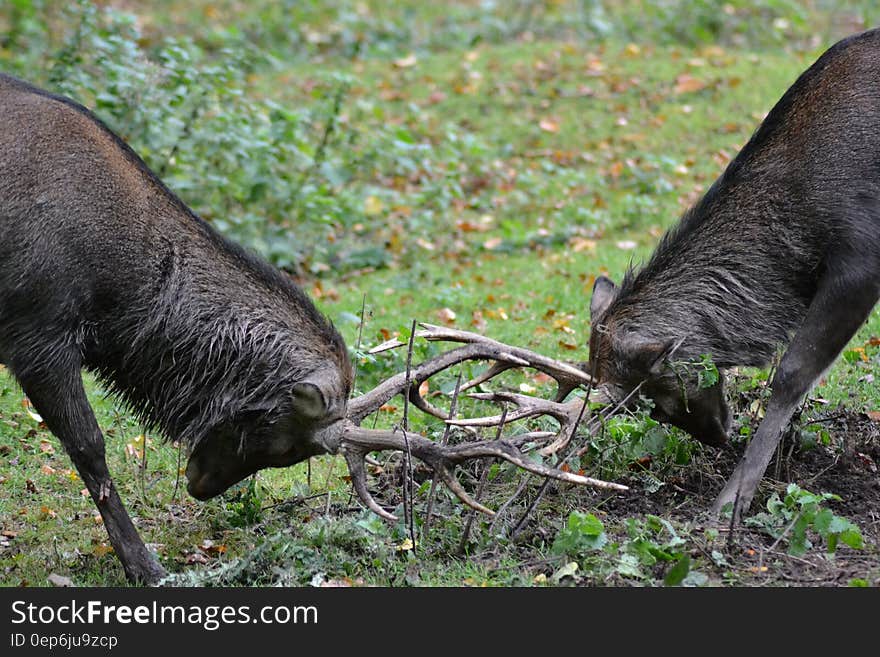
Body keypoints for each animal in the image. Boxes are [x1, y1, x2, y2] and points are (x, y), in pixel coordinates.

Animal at [1, 74, 620, 580]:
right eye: (276, 433)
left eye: (281, 449)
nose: (199, 484)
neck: (119, 293)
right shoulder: (37, 333)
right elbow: (91, 447)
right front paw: (144, 566)